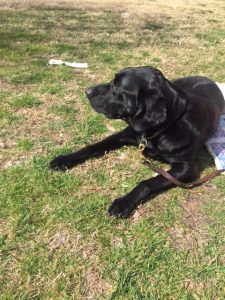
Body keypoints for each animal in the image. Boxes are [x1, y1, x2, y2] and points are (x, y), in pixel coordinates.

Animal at [49, 67, 225, 217]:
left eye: (117, 86)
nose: (87, 91)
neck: (161, 129)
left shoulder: (186, 169)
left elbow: (147, 183)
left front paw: (123, 203)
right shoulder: (124, 134)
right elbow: (93, 146)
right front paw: (64, 159)